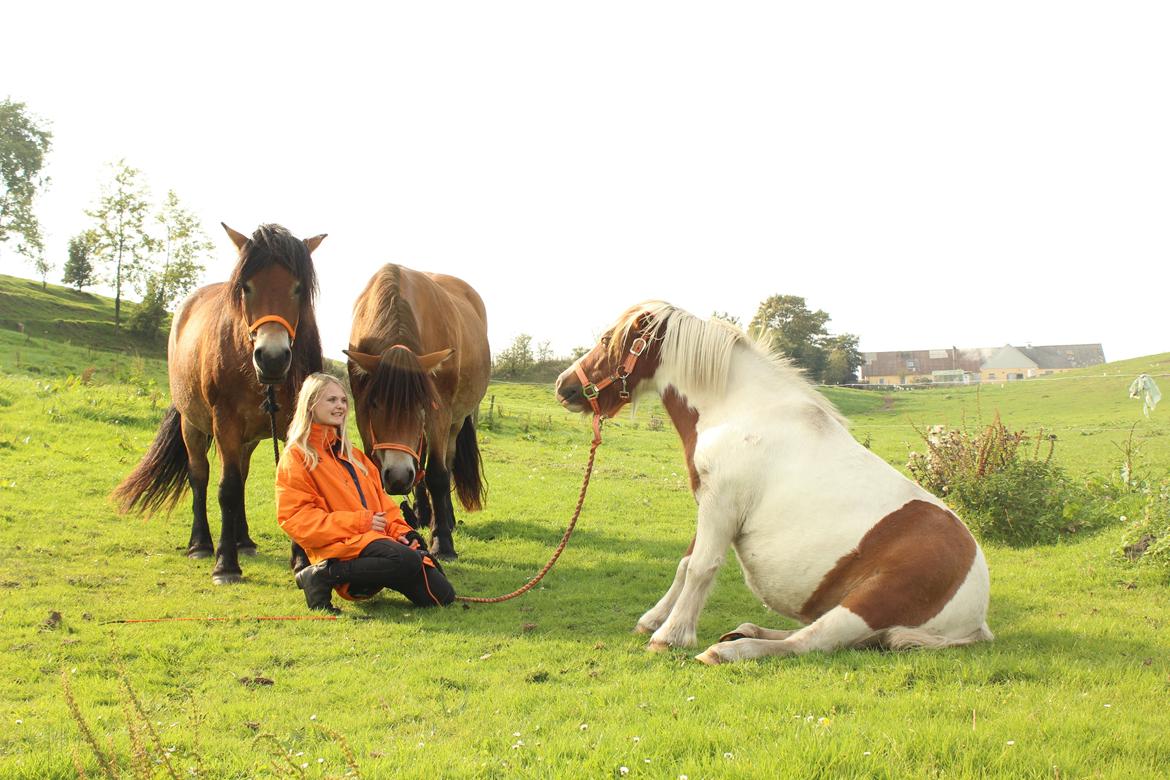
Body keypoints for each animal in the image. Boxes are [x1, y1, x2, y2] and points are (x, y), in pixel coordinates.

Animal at [114, 222, 325, 582]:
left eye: (298, 288)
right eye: (246, 287)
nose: (271, 358)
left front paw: (301, 559)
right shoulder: (224, 422)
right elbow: (226, 488)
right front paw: (225, 564)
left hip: (248, 438)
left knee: (241, 475)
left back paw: (243, 540)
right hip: (193, 425)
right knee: (201, 475)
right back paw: (201, 544)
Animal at [341, 265, 489, 558]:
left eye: (421, 404)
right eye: (375, 404)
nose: (398, 477)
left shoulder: (438, 414)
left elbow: (438, 475)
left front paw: (442, 541)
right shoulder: (363, 417)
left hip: (454, 423)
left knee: (444, 463)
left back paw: (445, 518)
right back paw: (422, 513)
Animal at [552, 301, 992, 664]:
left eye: (607, 340)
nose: (564, 386)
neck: (740, 411)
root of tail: (977, 618)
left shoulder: (721, 506)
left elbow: (701, 568)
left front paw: (670, 636)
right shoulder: (710, 502)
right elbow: (686, 564)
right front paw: (653, 620)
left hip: (867, 606)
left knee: (811, 642)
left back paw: (731, 650)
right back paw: (743, 632)